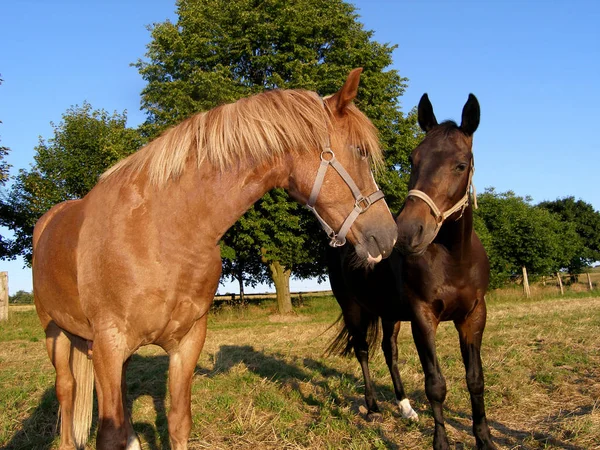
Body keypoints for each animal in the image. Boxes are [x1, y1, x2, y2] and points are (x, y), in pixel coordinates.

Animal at [34, 67, 398, 450]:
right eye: (360, 152)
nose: (388, 235)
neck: (163, 231)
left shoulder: (187, 341)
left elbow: (178, 422)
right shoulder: (109, 343)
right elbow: (108, 433)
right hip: (56, 333)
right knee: (67, 390)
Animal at [328, 93, 496, 448]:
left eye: (461, 164)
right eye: (413, 159)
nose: (406, 233)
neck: (454, 260)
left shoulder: (474, 315)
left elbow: (475, 380)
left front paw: (484, 439)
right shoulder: (423, 317)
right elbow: (436, 384)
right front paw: (441, 442)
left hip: (388, 312)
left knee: (388, 352)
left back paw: (405, 408)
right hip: (353, 308)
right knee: (363, 351)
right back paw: (373, 407)